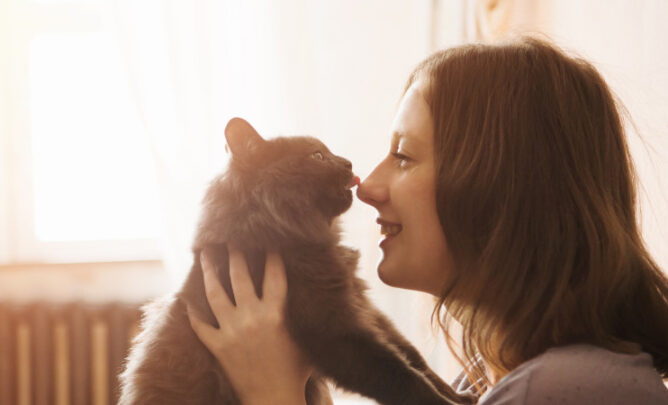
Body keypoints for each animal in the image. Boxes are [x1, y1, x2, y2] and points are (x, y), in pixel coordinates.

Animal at [117, 117, 472, 404]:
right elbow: (399, 374)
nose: (348, 162)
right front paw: (446, 401)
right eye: (316, 156)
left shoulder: (362, 306)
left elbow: (413, 357)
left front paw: (457, 393)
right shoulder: (333, 327)